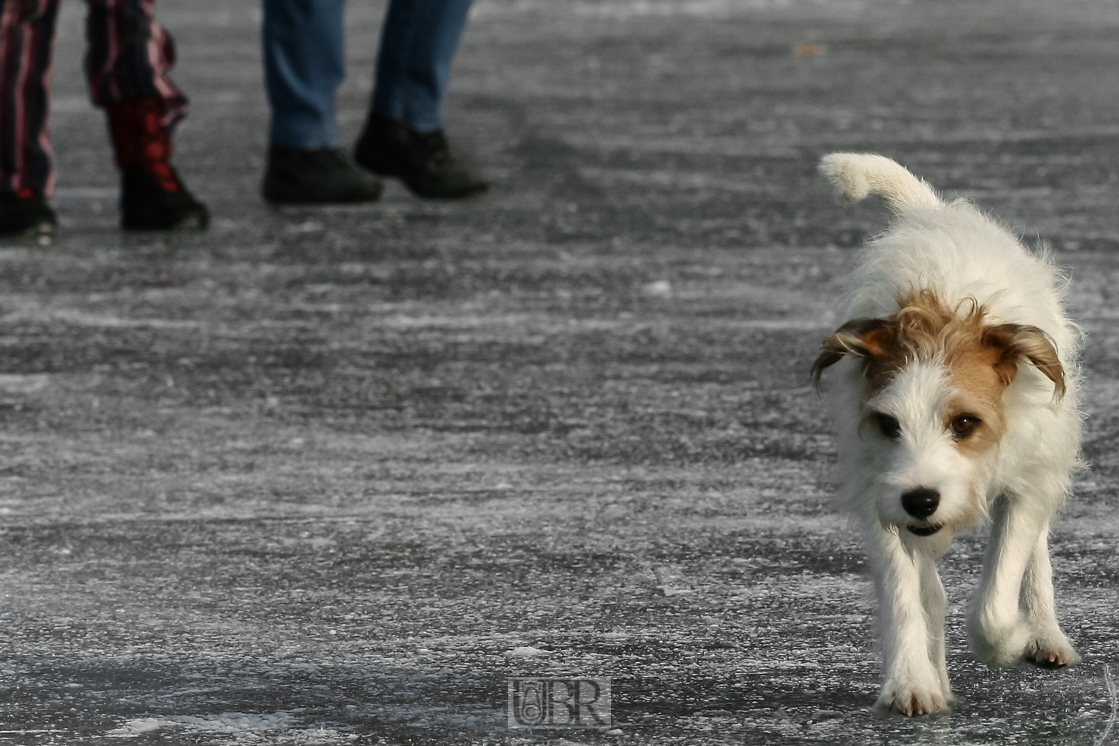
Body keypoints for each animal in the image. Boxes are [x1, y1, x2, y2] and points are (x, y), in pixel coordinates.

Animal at [814, 153, 1083, 715]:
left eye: (965, 423)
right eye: (888, 424)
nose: (921, 500)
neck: (939, 315)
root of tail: (934, 214)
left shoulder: (1024, 485)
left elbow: (996, 601)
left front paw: (1012, 639)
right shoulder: (880, 494)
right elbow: (905, 594)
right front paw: (912, 680)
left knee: (1036, 550)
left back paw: (1043, 633)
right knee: (929, 591)